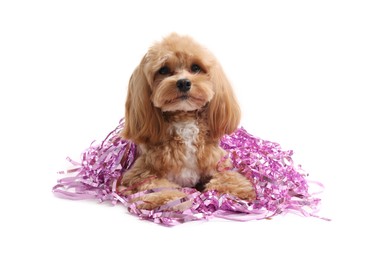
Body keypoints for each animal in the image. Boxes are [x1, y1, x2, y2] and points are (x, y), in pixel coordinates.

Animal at [116, 34, 255, 209]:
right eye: (163, 70)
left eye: (195, 67)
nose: (183, 82)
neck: (184, 121)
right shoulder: (139, 174)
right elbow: (157, 187)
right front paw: (175, 199)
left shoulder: (217, 163)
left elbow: (228, 177)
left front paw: (239, 189)